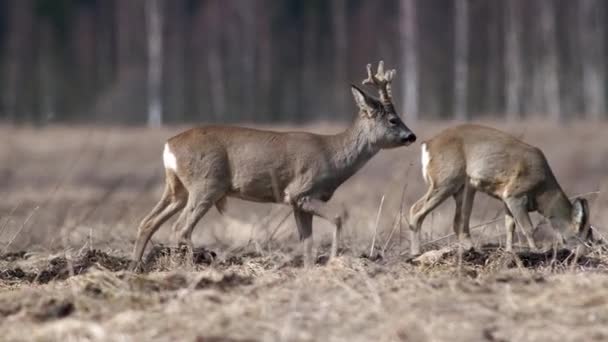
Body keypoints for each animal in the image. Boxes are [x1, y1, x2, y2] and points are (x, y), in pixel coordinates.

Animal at [131, 61, 416, 268]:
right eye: (393, 119)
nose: (411, 136)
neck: (333, 156)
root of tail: (169, 146)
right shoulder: (301, 191)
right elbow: (337, 218)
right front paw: (334, 259)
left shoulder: (297, 203)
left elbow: (307, 241)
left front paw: (310, 269)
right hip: (206, 183)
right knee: (180, 227)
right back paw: (198, 264)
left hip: (177, 187)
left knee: (147, 222)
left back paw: (135, 267)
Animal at [408, 124, 592, 255]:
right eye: (583, 235)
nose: (583, 253)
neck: (543, 192)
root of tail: (427, 144)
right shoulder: (515, 195)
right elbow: (528, 227)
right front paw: (536, 250)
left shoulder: (506, 198)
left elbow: (509, 226)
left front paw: (509, 251)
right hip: (446, 179)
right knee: (416, 210)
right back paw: (416, 252)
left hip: (463, 187)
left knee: (458, 221)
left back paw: (471, 249)